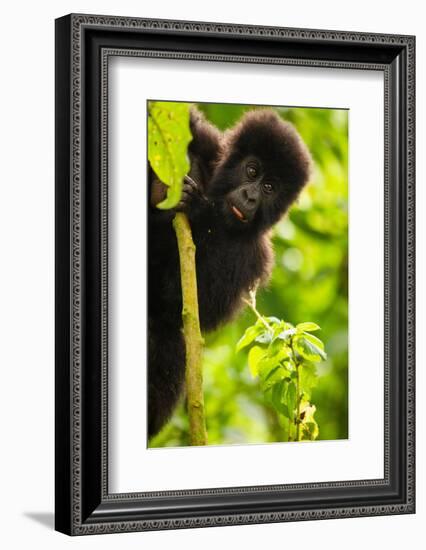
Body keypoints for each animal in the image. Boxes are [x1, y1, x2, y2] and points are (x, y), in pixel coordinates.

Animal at [148, 105, 312, 438]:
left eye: (269, 187)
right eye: (252, 171)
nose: (250, 196)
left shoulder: (254, 256)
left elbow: (184, 305)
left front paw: (198, 207)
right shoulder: (210, 145)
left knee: (168, 337)